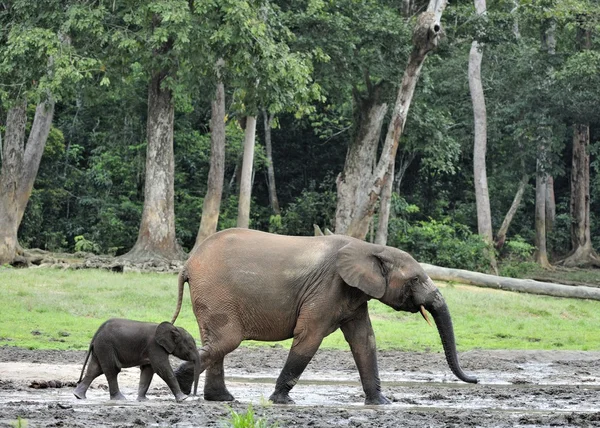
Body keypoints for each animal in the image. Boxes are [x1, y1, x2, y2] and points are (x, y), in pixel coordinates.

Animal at [172, 229, 478, 402]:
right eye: (415, 280)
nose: (475, 380)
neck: (368, 248)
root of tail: (187, 264)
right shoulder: (328, 288)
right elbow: (309, 336)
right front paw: (281, 400)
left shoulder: (353, 294)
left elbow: (364, 341)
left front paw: (382, 403)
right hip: (216, 292)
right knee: (227, 340)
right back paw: (185, 384)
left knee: (218, 342)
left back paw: (220, 399)